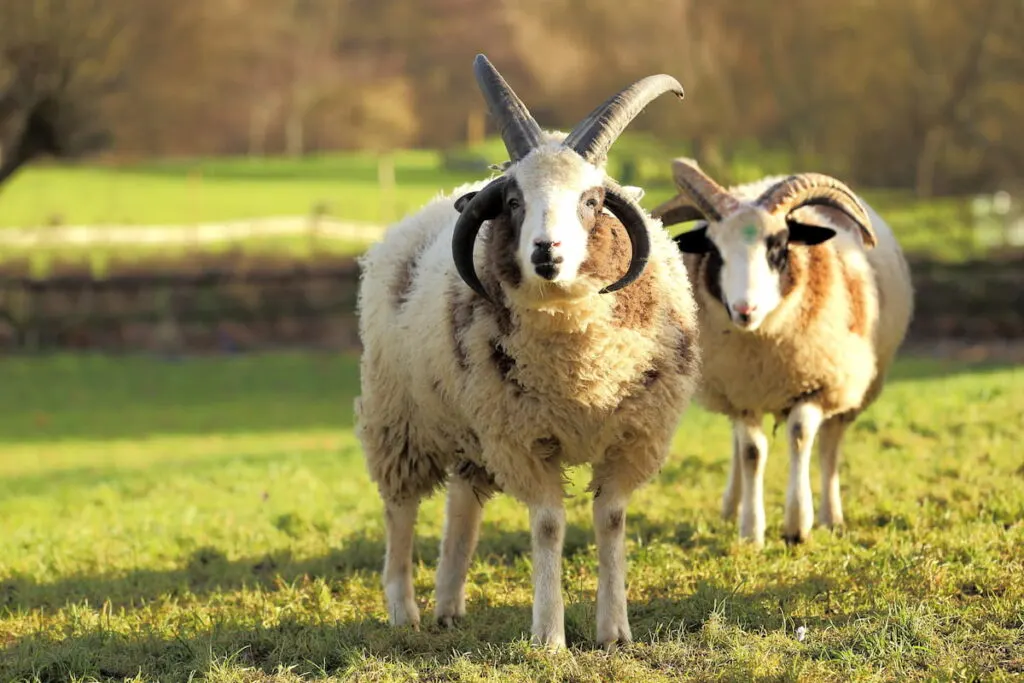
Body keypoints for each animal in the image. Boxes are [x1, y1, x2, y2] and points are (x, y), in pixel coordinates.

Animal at [354, 56, 704, 651]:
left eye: (592, 201)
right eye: (515, 202)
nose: (547, 252)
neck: (580, 369)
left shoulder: (632, 436)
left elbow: (611, 520)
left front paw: (615, 631)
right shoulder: (524, 439)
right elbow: (548, 525)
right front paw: (549, 635)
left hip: (471, 423)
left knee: (462, 502)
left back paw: (449, 604)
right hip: (400, 416)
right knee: (400, 508)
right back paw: (405, 610)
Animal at [651, 158, 917, 544]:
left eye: (778, 247)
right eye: (715, 252)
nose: (744, 310)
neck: (764, 346)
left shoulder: (818, 384)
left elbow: (800, 437)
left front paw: (797, 525)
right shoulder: (741, 392)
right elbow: (751, 452)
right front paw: (750, 530)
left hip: (851, 385)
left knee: (829, 446)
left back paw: (831, 516)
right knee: (740, 446)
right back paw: (731, 507)